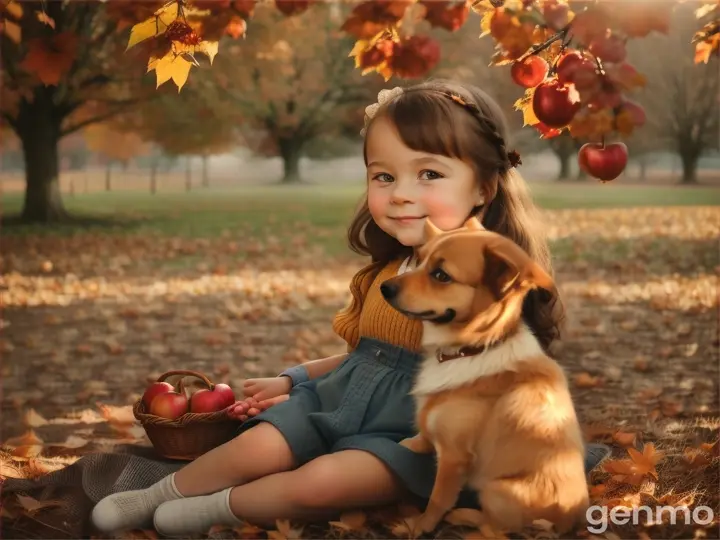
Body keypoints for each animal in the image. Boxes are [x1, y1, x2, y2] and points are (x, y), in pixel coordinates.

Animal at [380, 218, 588, 536]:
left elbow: (437, 499)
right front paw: (412, 444)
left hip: (497, 492)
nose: (383, 288)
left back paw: (465, 518)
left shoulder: (454, 457)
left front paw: (422, 526)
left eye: (441, 275)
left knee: (493, 529)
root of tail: (575, 519)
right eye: (420, 258)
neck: (471, 349)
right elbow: (423, 435)